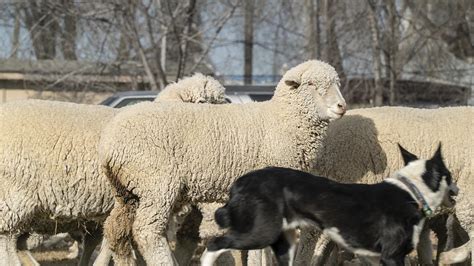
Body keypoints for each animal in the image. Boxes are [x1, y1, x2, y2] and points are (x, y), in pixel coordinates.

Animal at [97, 59, 348, 264]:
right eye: (312, 84)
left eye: (336, 83)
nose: (342, 106)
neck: (282, 120)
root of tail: (109, 142)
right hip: (157, 183)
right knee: (147, 231)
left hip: (127, 191)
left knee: (116, 231)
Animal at [201, 144, 460, 264]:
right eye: (449, 175)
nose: (458, 189)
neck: (411, 191)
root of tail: (240, 182)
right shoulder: (391, 255)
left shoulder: (373, 257)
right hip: (260, 233)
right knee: (214, 245)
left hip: (284, 243)